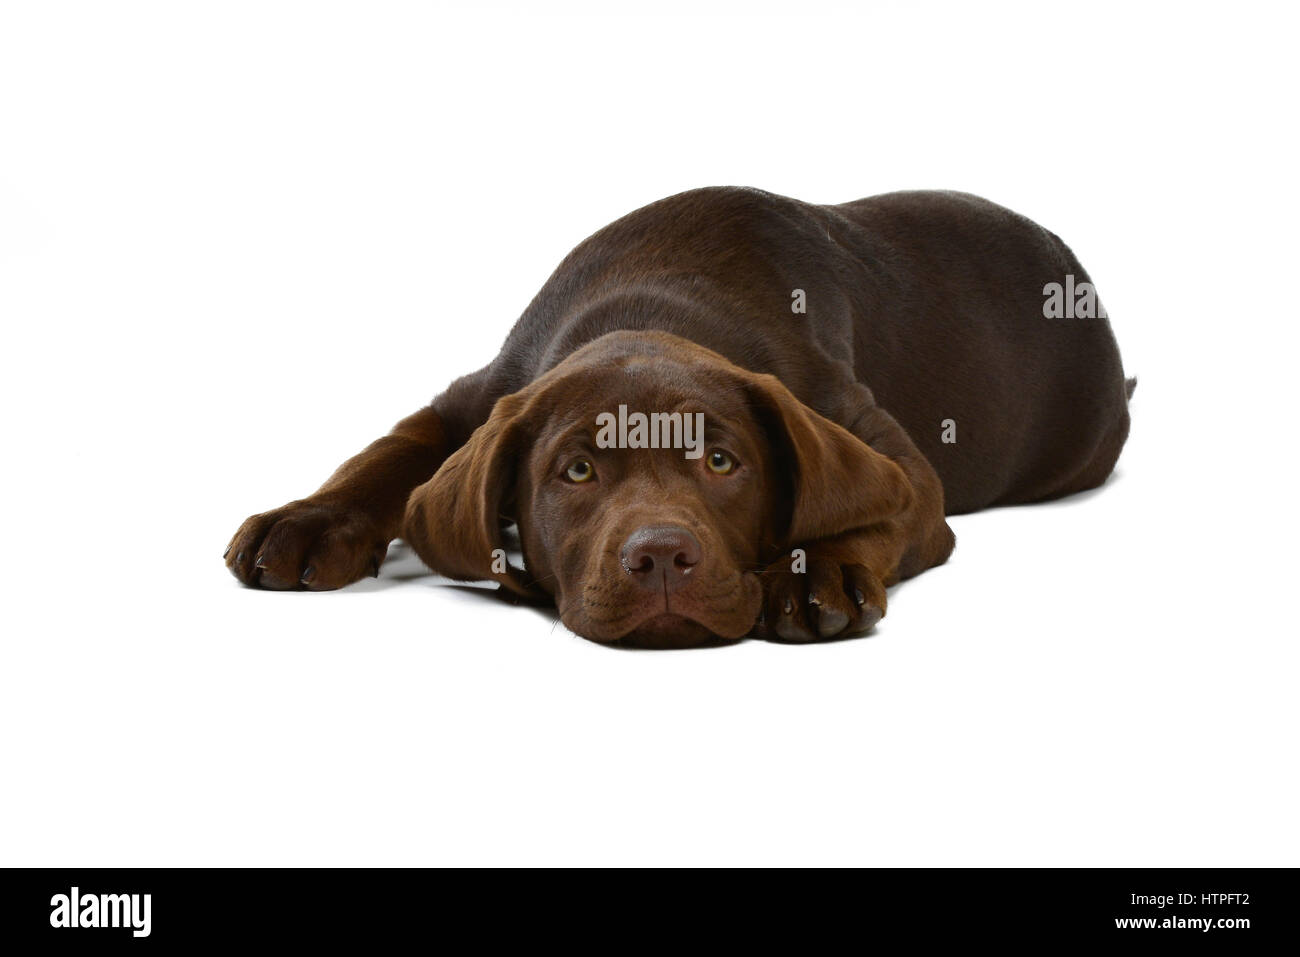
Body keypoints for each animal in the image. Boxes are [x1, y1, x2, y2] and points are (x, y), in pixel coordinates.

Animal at [228, 184, 1133, 650]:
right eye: (577, 470)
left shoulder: (877, 441)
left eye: (723, 462)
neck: (651, 301)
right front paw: (308, 520)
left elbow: (878, 504)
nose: (661, 557)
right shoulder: (478, 395)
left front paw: (819, 567)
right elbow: (387, 453)